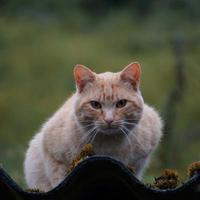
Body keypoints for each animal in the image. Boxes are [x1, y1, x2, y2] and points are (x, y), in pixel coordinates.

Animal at [24, 62, 163, 191]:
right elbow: (58, 179)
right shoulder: (53, 156)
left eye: (122, 103)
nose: (109, 120)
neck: (108, 146)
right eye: (95, 105)